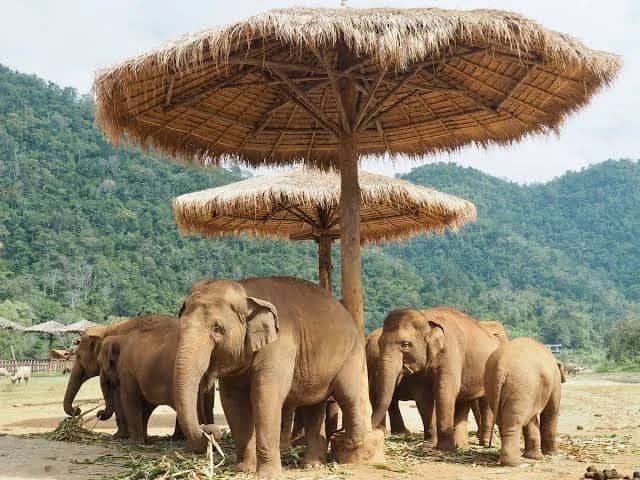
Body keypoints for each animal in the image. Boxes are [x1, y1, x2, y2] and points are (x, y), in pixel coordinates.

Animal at [174, 276, 376, 479]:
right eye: (181, 327)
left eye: (217, 329)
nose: (209, 431)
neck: (246, 292)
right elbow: (233, 401)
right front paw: (243, 470)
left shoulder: (279, 346)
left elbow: (266, 397)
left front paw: (267, 475)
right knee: (314, 406)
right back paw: (313, 464)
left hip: (351, 353)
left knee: (347, 393)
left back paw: (349, 442)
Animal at [371, 307, 498, 452]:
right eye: (379, 344)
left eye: (406, 344)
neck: (425, 316)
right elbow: (423, 397)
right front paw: (429, 445)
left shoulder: (450, 353)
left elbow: (444, 392)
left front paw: (444, 448)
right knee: (463, 401)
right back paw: (461, 446)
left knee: (485, 402)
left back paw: (487, 443)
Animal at [484, 337, 566, 466]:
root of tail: (501, 367)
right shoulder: (555, 382)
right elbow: (551, 411)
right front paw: (552, 454)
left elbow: (531, 419)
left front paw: (534, 456)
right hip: (520, 386)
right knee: (513, 422)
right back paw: (514, 462)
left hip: (492, 385)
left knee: (502, 420)